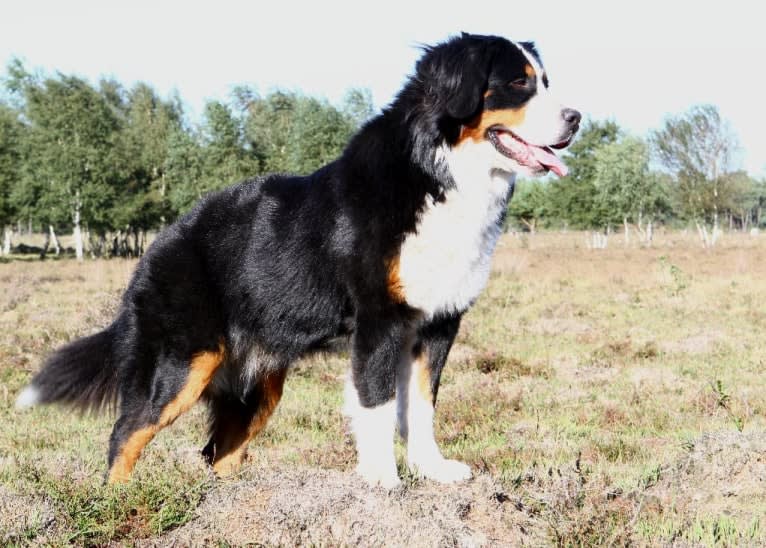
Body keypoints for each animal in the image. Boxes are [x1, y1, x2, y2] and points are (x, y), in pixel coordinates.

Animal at [16, 33, 584, 488]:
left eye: (545, 82)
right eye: (517, 84)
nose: (577, 118)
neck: (440, 176)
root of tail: (158, 245)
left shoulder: (437, 322)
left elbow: (421, 406)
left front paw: (433, 470)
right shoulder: (379, 320)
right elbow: (377, 405)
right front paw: (383, 479)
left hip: (258, 385)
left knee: (218, 453)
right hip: (181, 363)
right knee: (126, 435)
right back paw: (116, 501)